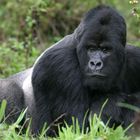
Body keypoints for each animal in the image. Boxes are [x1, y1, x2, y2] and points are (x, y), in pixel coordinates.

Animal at [0, 5, 140, 136]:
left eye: (105, 50)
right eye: (91, 49)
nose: (95, 63)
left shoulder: (134, 58)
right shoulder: (61, 64)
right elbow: (78, 127)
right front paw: (109, 102)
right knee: (10, 92)